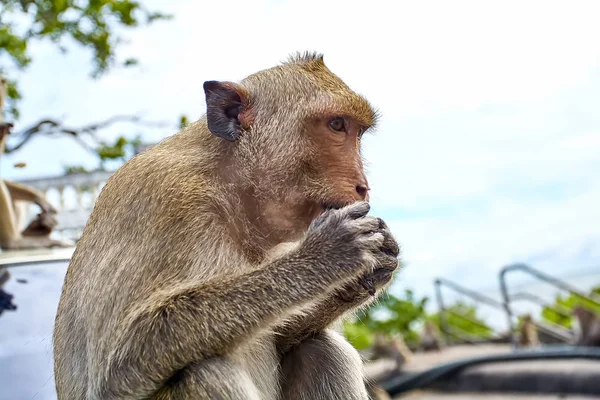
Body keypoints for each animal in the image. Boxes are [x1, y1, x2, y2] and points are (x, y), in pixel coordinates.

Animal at [51, 53, 398, 400]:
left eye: (358, 133)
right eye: (337, 125)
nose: (363, 186)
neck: (230, 185)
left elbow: (284, 336)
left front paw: (368, 272)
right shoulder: (167, 200)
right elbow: (116, 368)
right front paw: (324, 256)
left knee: (320, 348)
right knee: (201, 371)